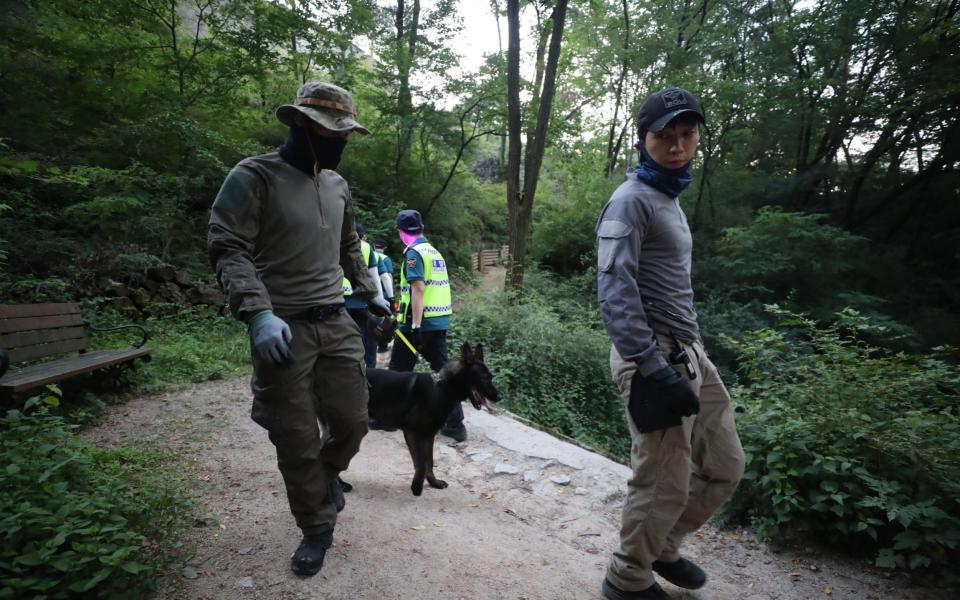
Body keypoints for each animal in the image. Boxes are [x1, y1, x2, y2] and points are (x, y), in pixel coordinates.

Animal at [364, 342, 498, 496]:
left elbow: (430, 462)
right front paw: (417, 486)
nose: (499, 396)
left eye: (491, 377)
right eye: (484, 378)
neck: (442, 388)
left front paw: (434, 482)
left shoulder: (428, 435)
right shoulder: (412, 433)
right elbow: (421, 464)